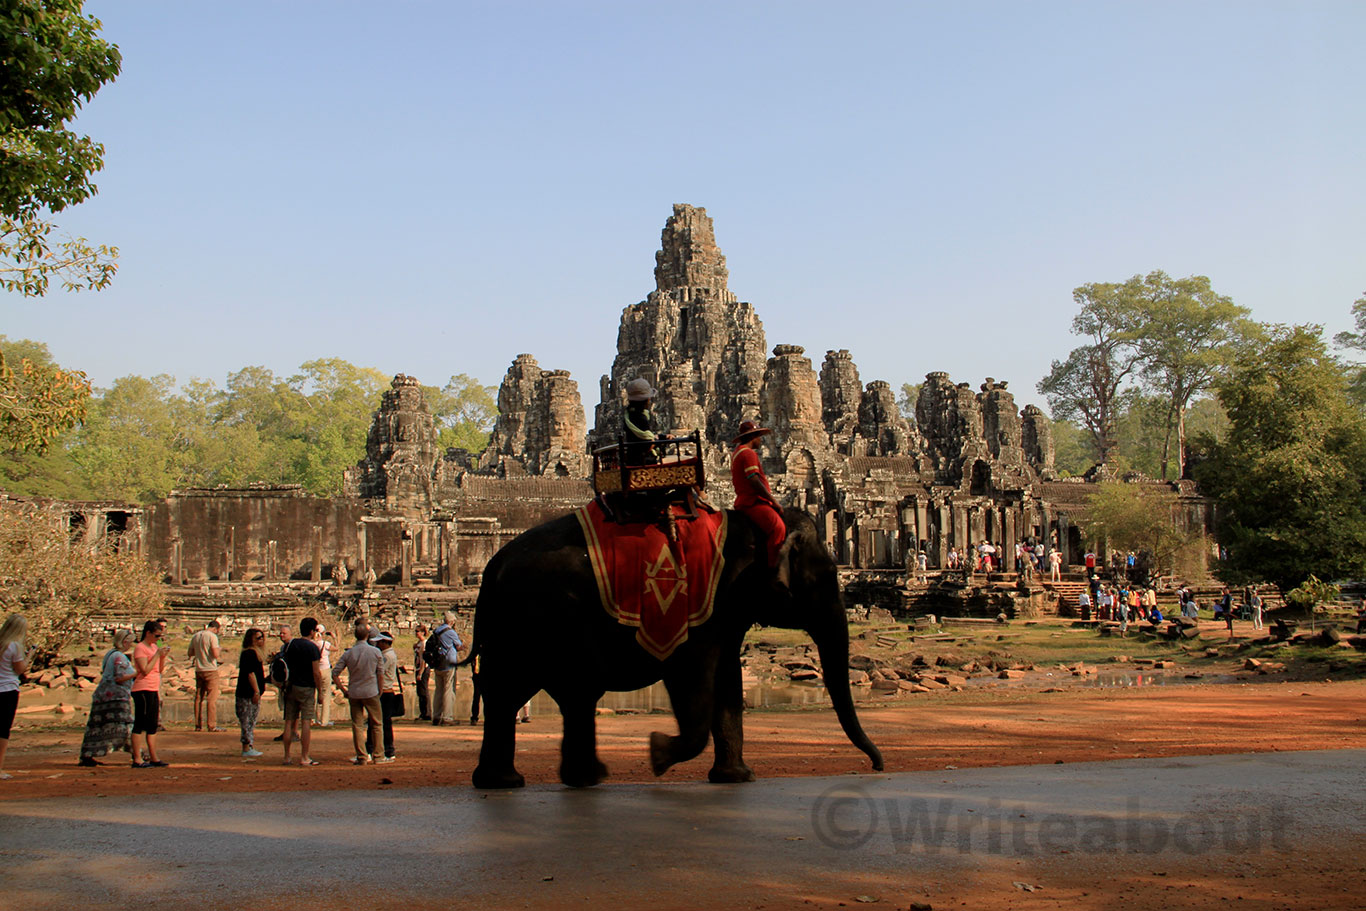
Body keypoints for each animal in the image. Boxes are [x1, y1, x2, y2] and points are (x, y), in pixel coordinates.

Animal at [467, 505, 885, 792]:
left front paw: (736, 777)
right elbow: (694, 683)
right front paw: (657, 753)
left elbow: (728, 684)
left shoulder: (726, 616)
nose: (877, 766)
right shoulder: (698, 617)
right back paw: (531, 781)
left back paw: (545, 780)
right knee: (533, 692)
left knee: (544, 696)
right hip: (537, 624)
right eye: (825, 577)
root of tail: (491, 568)